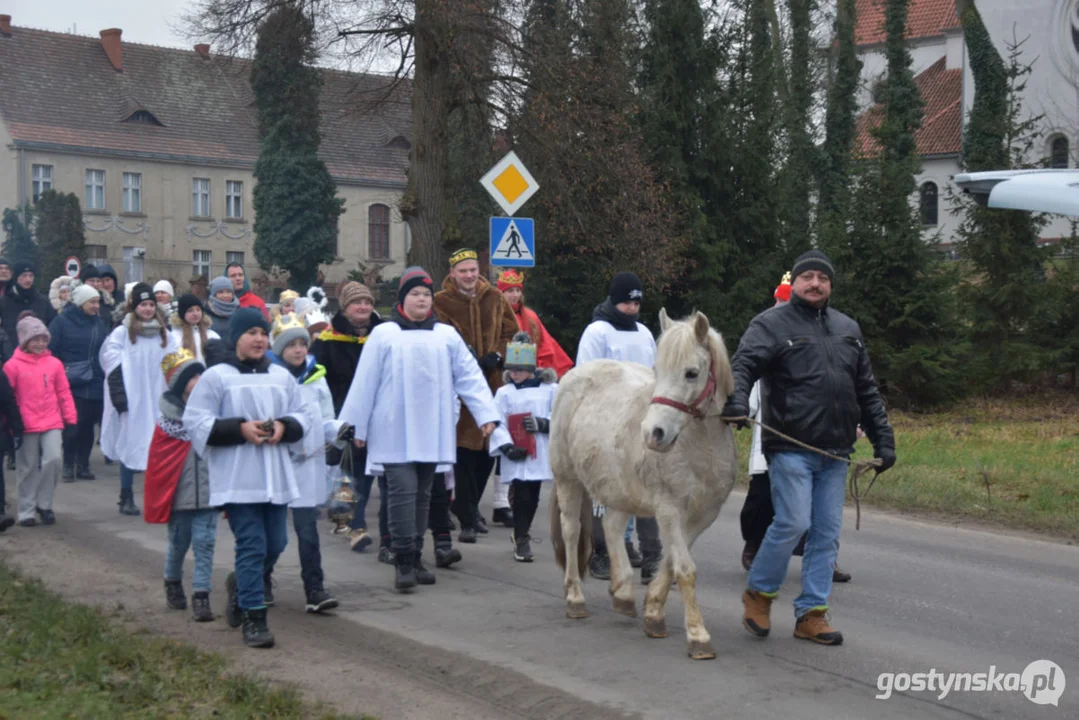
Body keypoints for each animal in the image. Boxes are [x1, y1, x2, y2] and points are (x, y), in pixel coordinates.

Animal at [552, 310, 738, 660]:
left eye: (691, 373)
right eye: (657, 370)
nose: (653, 434)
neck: (698, 446)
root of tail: (577, 373)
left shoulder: (702, 516)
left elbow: (670, 563)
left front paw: (653, 613)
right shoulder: (668, 509)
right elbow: (685, 569)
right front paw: (698, 636)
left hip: (619, 488)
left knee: (611, 526)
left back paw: (623, 593)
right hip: (567, 479)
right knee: (571, 531)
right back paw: (574, 598)